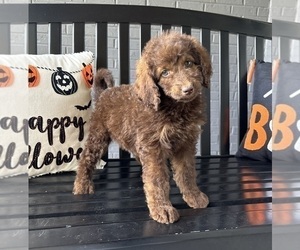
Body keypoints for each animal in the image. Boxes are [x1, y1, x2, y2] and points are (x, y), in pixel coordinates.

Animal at [73, 31, 212, 225]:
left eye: (188, 63)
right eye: (165, 73)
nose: (188, 89)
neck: (176, 108)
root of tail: (104, 93)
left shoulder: (186, 143)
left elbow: (186, 172)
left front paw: (194, 196)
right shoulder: (153, 144)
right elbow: (157, 178)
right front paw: (162, 208)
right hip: (98, 135)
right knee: (86, 158)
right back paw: (82, 185)